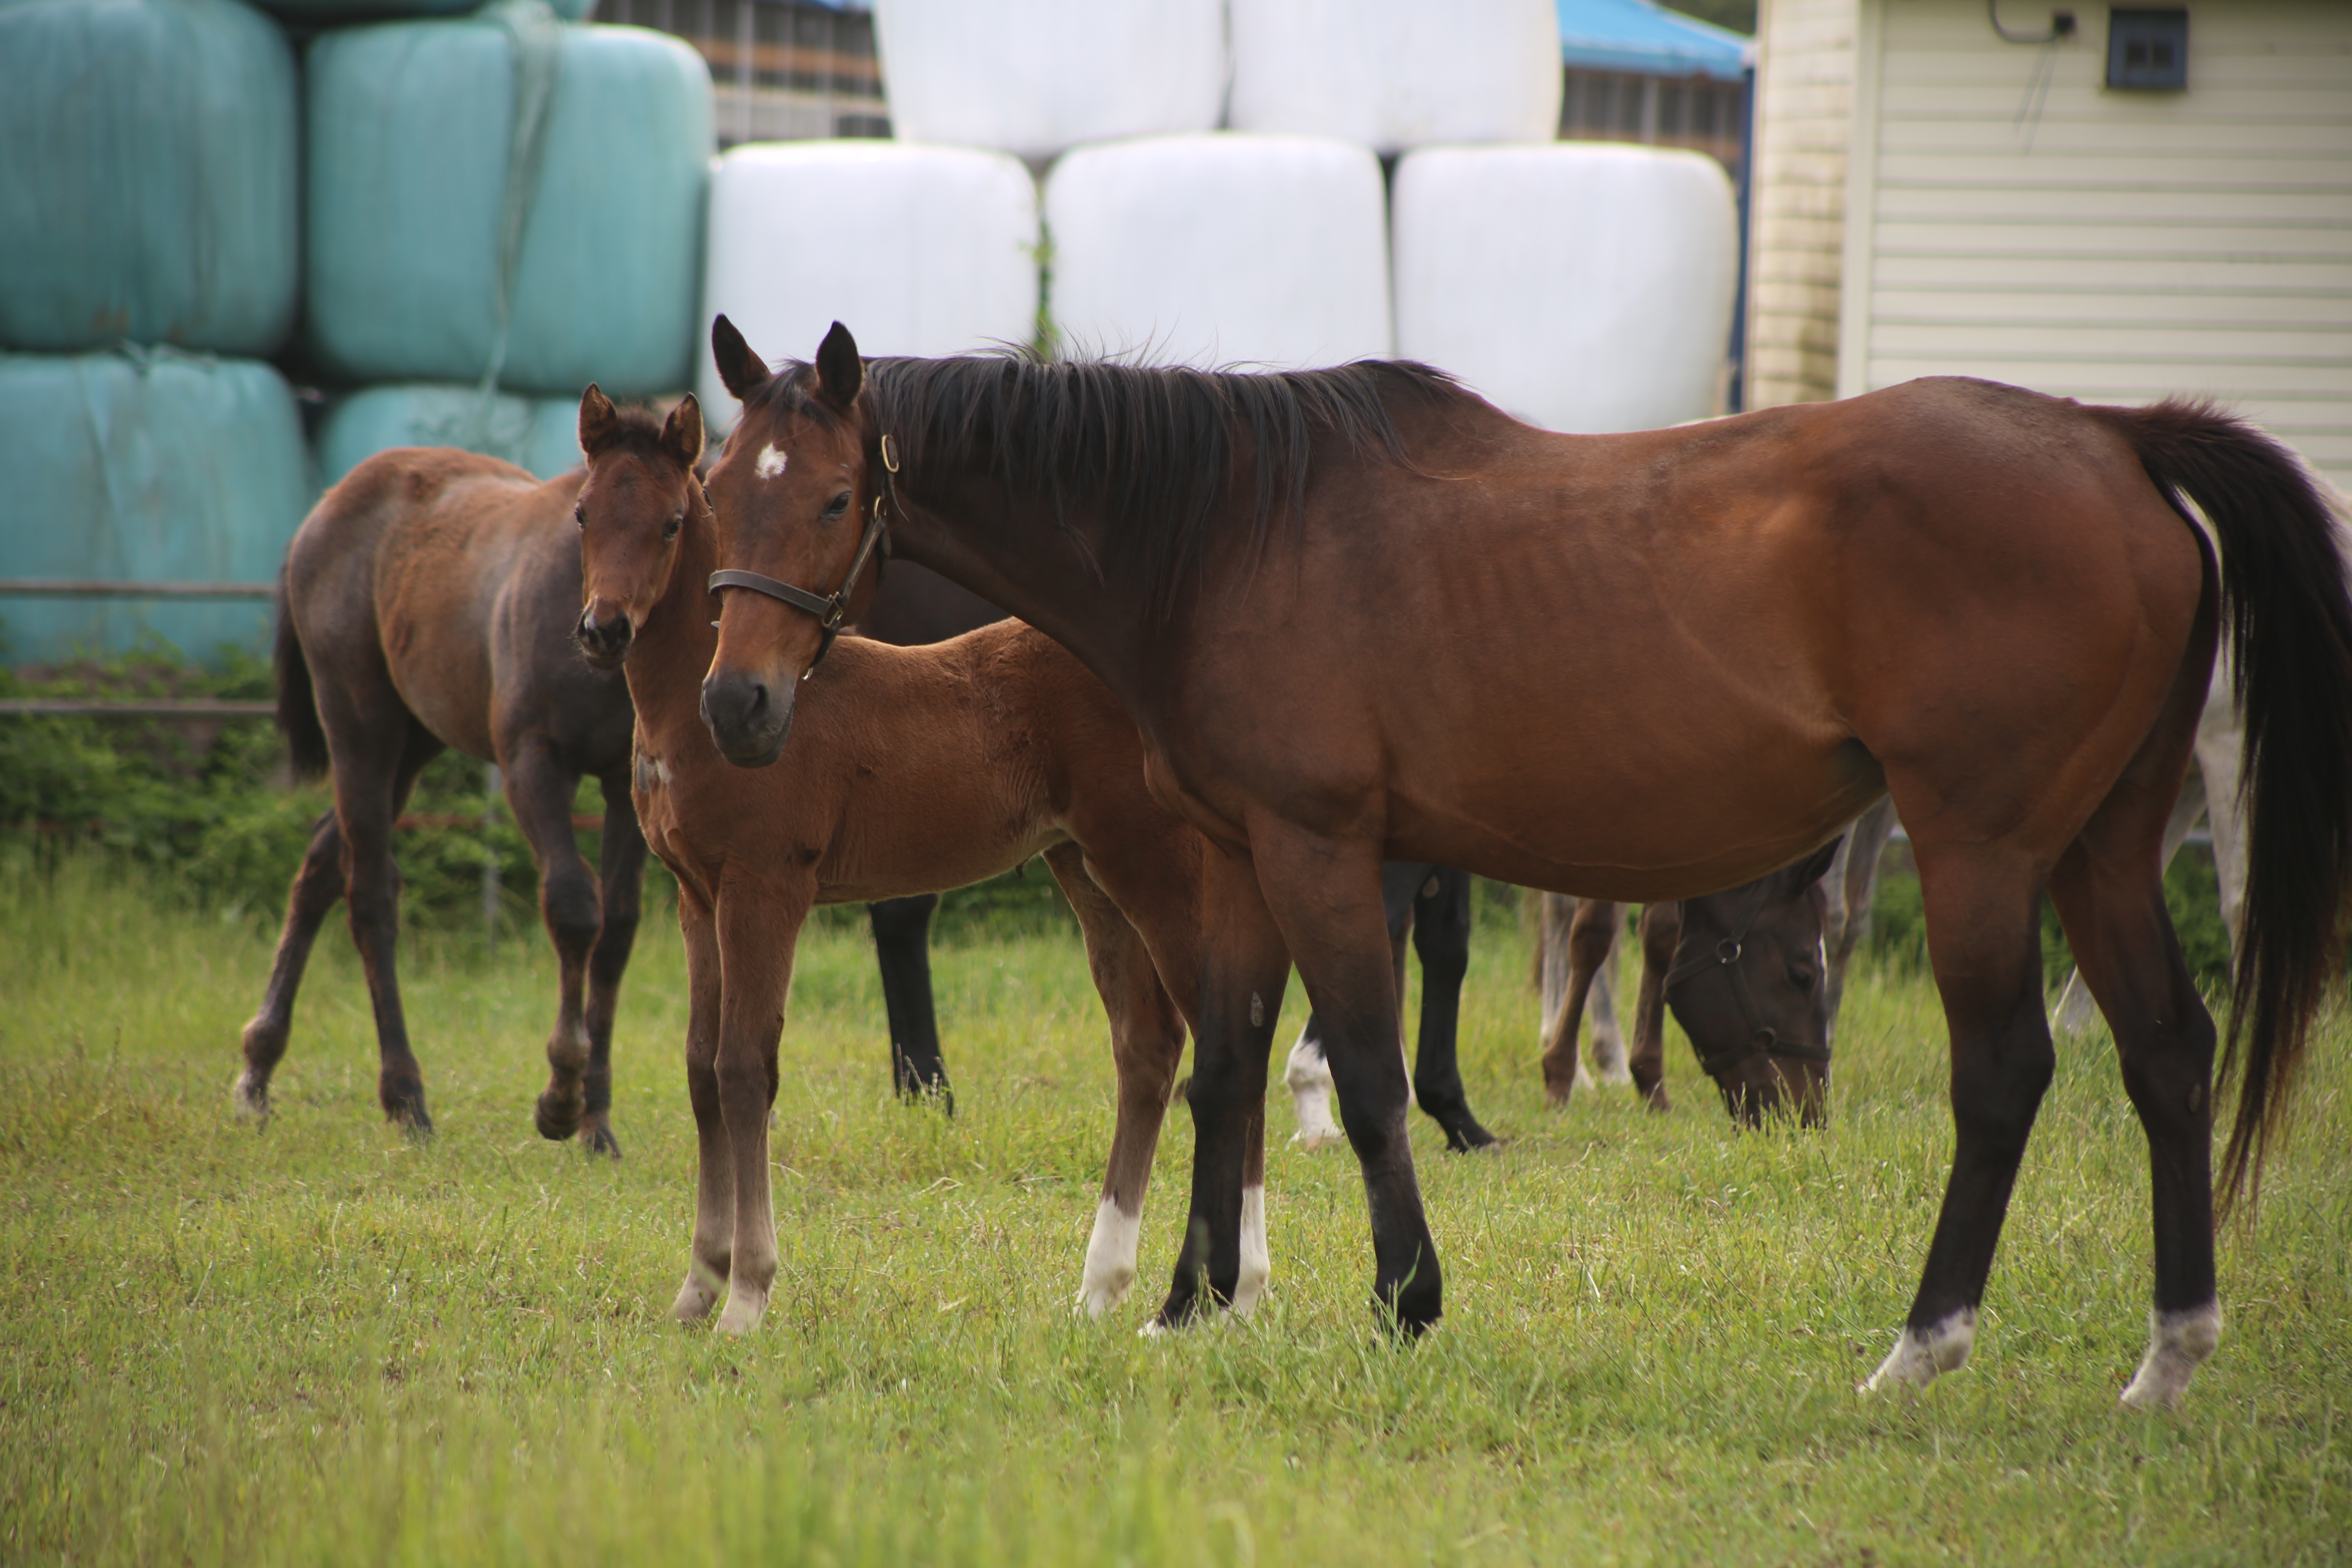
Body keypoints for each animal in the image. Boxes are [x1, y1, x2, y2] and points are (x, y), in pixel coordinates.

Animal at [240, 444, 649, 1152]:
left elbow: (617, 930)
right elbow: (574, 907)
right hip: (361, 727)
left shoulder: (628, 782)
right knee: (370, 892)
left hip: (414, 740)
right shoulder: (532, 763)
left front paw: (596, 1122)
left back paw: (259, 1072)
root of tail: (326, 506)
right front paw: (560, 1101)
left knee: (322, 864)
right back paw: (406, 1099)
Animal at [569, 385, 1251, 1335]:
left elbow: (746, 1070)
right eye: (583, 514)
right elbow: (702, 1069)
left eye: (672, 523)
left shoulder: (766, 887)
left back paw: (1232, 1292)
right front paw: (696, 1287)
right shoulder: (696, 896)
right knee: (1146, 1045)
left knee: (1228, 1039)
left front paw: (748, 1294)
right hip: (1087, 871)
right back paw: (1101, 1287)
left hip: (1152, 864)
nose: (603, 629)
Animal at [696, 319, 2352, 1410]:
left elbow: (1363, 1076)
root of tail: (2112, 437)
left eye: (834, 498)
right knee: (2167, 1052)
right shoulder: (1236, 857)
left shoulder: (1318, 847)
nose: (737, 705)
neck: (1225, 531)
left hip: (1983, 850)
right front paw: (1188, 1304)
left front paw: (1404, 1302)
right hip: (2099, 848)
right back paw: (2165, 1355)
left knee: (2007, 1072)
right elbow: (1226, 1068)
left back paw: (1922, 1343)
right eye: (715, 495)